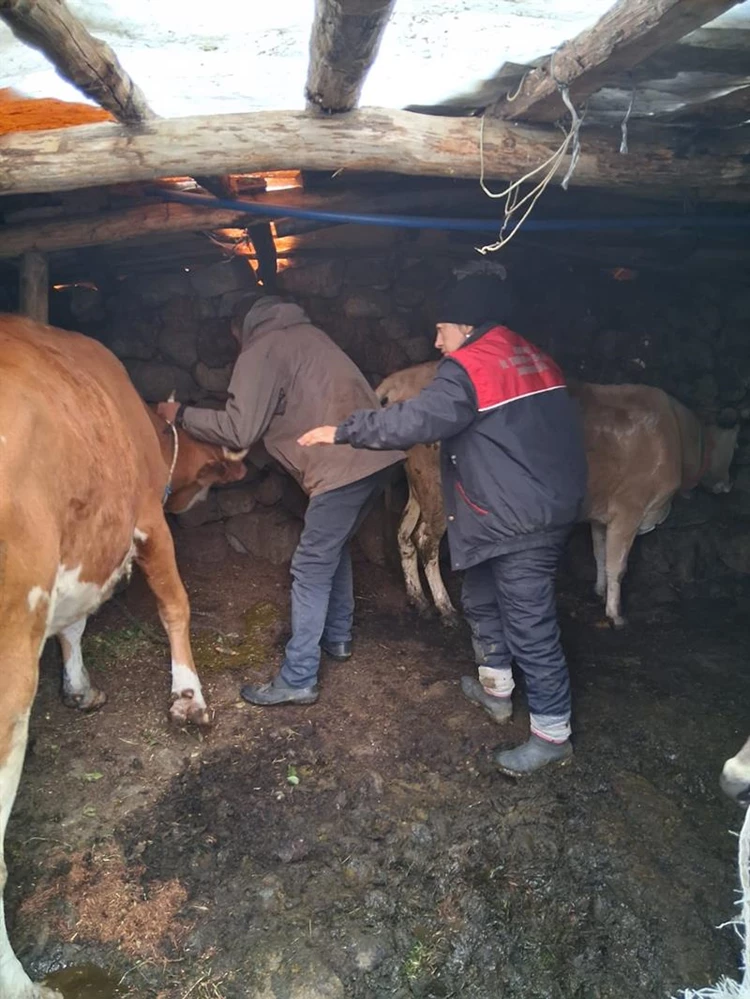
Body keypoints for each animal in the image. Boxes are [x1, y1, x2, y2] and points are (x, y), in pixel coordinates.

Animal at [0, 315, 248, 1000]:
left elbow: (75, 623)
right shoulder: (144, 520)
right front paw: (188, 696)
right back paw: (26, 986)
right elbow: (174, 604)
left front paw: (81, 688)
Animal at [376, 362, 738, 630]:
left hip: (418, 485)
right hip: (438, 490)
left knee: (404, 535)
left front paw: (599, 593)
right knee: (426, 542)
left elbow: (600, 553)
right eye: (736, 447)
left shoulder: (603, 513)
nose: (728, 486)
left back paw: (419, 600)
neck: (678, 436)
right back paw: (444, 607)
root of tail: (399, 381)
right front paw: (616, 615)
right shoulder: (629, 510)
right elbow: (618, 565)